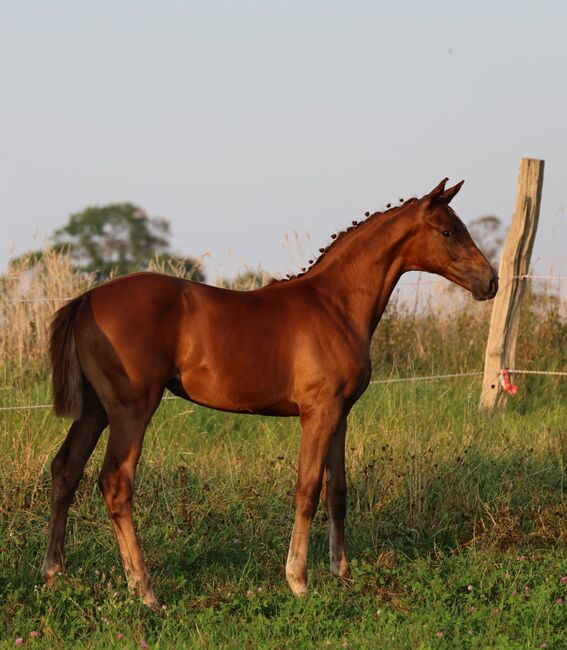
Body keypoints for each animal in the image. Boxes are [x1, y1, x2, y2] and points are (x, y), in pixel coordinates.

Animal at [42, 176, 500, 604]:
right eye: (448, 231)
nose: (490, 281)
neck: (335, 306)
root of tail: (86, 299)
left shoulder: (341, 414)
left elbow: (337, 491)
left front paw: (342, 573)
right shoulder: (318, 412)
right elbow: (307, 488)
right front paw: (298, 580)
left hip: (96, 409)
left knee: (66, 469)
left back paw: (53, 573)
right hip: (131, 409)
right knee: (115, 483)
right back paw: (145, 590)